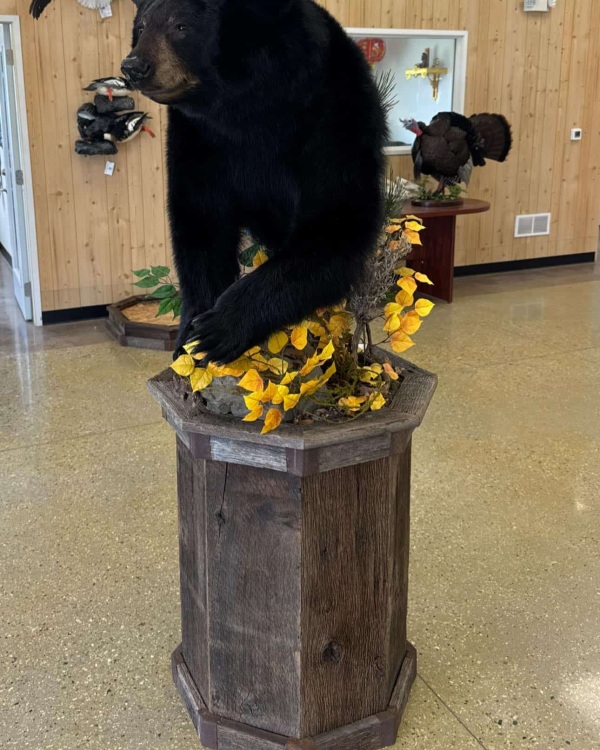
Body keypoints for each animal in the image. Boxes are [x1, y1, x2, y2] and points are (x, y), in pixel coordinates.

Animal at [121, 0, 387, 364]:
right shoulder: (199, 137)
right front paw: (191, 330)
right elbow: (200, 222)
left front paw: (220, 327)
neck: (248, 109)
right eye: (142, 26)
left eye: (181, 26)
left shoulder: (333, 121)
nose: (134, 66)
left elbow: (333, 223)